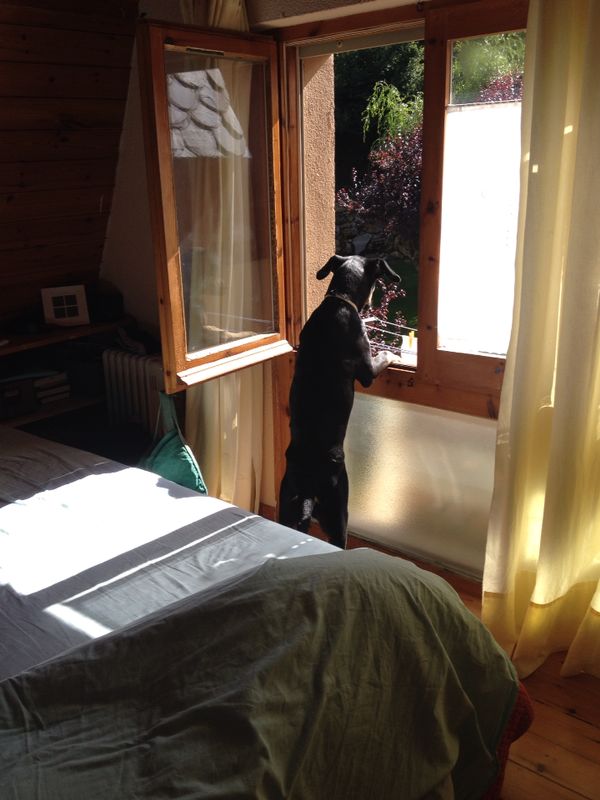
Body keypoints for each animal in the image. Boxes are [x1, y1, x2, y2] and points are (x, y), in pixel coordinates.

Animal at [278, 254, 403, 549]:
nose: (370, 305)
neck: (340, 299)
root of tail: (308, 488)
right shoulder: (367, 370)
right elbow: (382, 357)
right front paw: (395, 354)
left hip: (285, 505)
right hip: (339, 511)